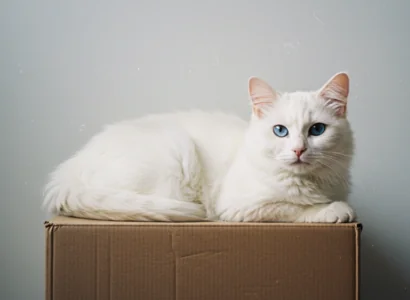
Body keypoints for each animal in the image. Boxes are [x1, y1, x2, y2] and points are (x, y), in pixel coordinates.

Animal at [42, 72, 356, 223]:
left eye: (317, 130)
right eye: (280, 131)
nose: (299, 150)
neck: (313, 182)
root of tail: (68, 171)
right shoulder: (241, 207)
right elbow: (294, 207)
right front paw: (333, 210)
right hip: (174, 152)